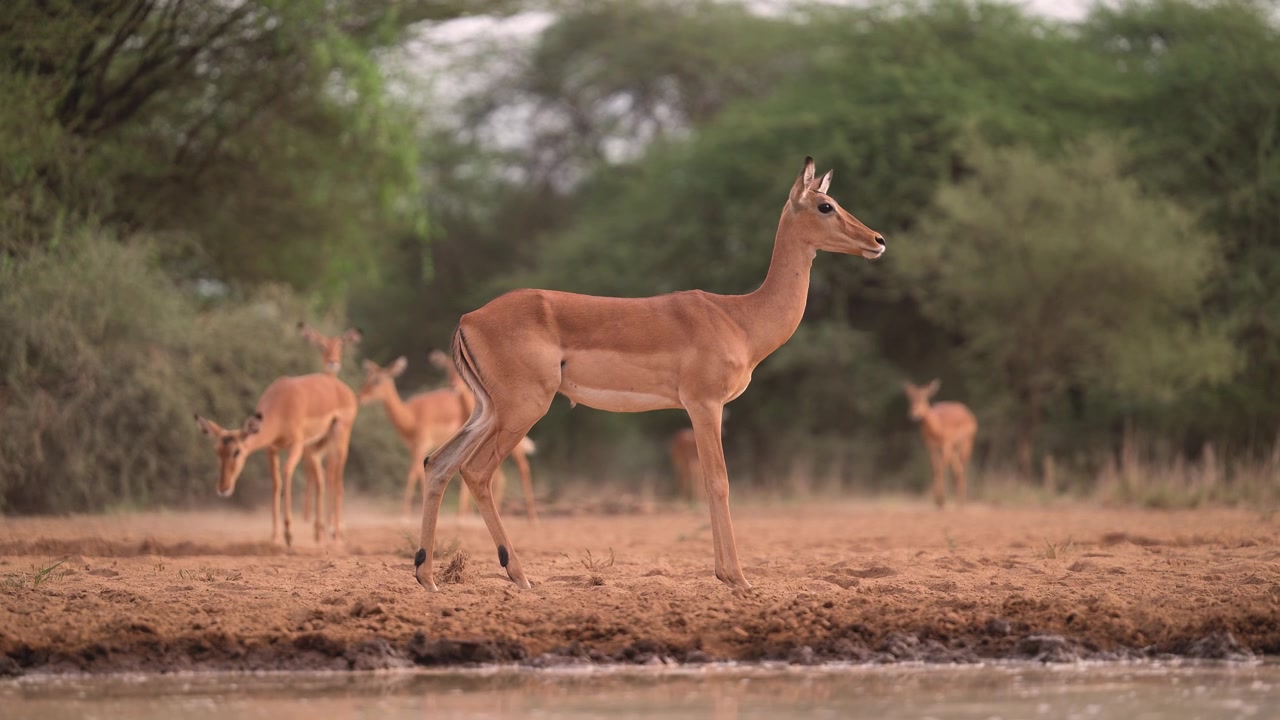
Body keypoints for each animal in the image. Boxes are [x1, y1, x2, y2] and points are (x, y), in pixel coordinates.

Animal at [194, 373, 357, 545]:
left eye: (237, 451)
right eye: (217, 450)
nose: (223, 488)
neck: (281, 404)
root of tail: (340, 386)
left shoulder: (296, 445)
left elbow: (286, 473)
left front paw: (289, 534)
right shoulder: (271, 449)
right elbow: (276, 483)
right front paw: (275, 537)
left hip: (339, 439)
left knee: (338, 482)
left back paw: (336, 535)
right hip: (315, 447)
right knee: (321, 480)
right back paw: (319, 535)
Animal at [358, 357, 538, 520]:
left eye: (377, 380)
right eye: (368, 378)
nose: (361, 397)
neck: (411, 415)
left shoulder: (422, 444)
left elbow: (413, 472)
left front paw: (405, 515)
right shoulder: (414, 447)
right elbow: (419, 470)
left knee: (522, 467)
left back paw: (530, 518)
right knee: (496, 475)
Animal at [411, 156, 885, 592]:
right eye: (825, 205)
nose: (877, 240)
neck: (741, 318)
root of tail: (468, 319)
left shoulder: (699, 409)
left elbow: (708, 482)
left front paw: (725, 574)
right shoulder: (704, 405)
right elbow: (718, 481)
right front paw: (737, 578)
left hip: (487, 410)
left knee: (438, 463)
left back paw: (427, 577)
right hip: (523, 409)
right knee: (476, 472)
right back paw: (519, 576)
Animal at [901, 379, 978, 508]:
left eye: (924, 398)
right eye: (911, 399)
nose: (914, 414)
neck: (937, 426)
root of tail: (968, 413)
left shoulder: (946, 444)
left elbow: (940, 468)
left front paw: (940, 500)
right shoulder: (931, 446)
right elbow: (935, 468)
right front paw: (938, 501)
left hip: (966, 445)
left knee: (962, 468)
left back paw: (961, 503)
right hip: (954, 450)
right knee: (957, 469)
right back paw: (958, 502)